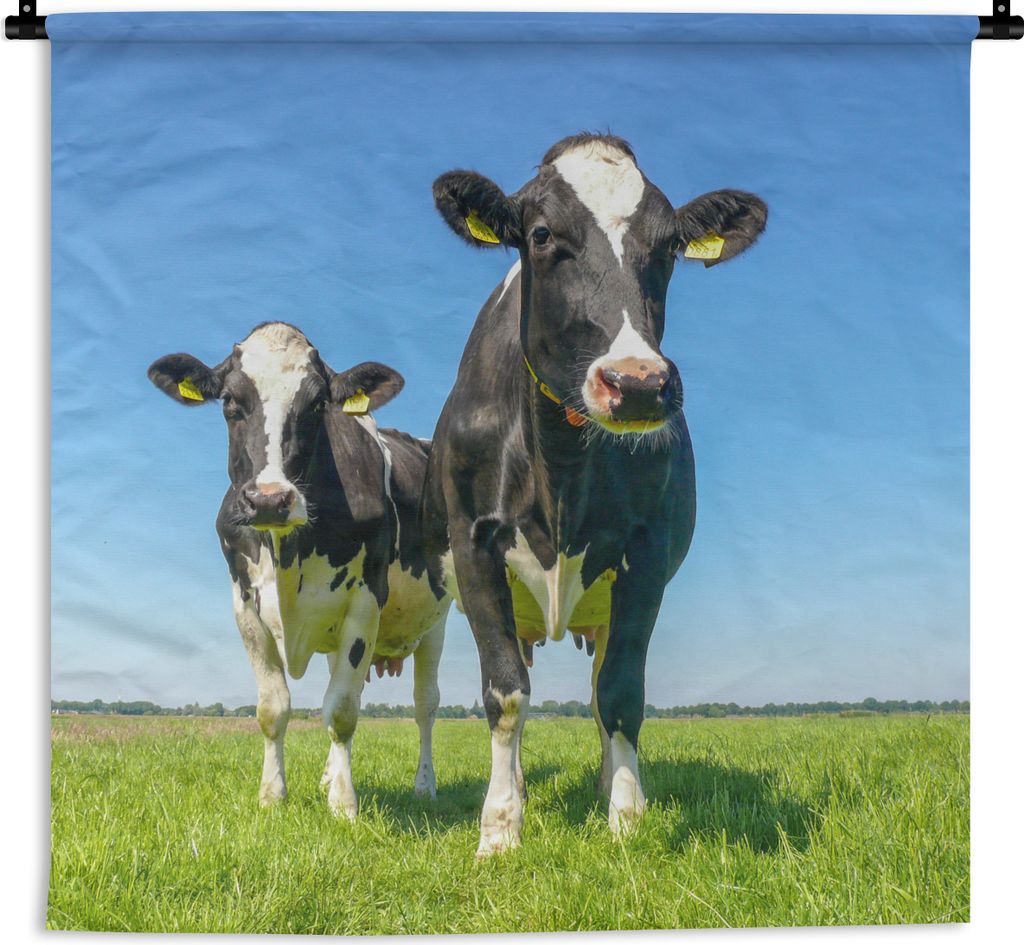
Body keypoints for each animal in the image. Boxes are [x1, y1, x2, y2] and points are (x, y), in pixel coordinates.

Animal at [148, 322, 451, 816]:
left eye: (318, 404)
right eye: (229, 401)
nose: (269, 499)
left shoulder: (366, 601)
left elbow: (343, 709)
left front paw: (344, 804)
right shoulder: (245, 606)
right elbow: (274, 707)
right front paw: (273, 795)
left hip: (437, 621)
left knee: (425, 704)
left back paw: (424, 785)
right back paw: (329, 774)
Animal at [423, 134, 767, 856]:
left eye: (668, 246)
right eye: (542, 234)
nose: (636, 384)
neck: (560, 461)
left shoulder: (645, 554)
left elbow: (620, 693)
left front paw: (626, 818)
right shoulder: (474, 546)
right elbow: (506, 693)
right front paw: (499, 827)